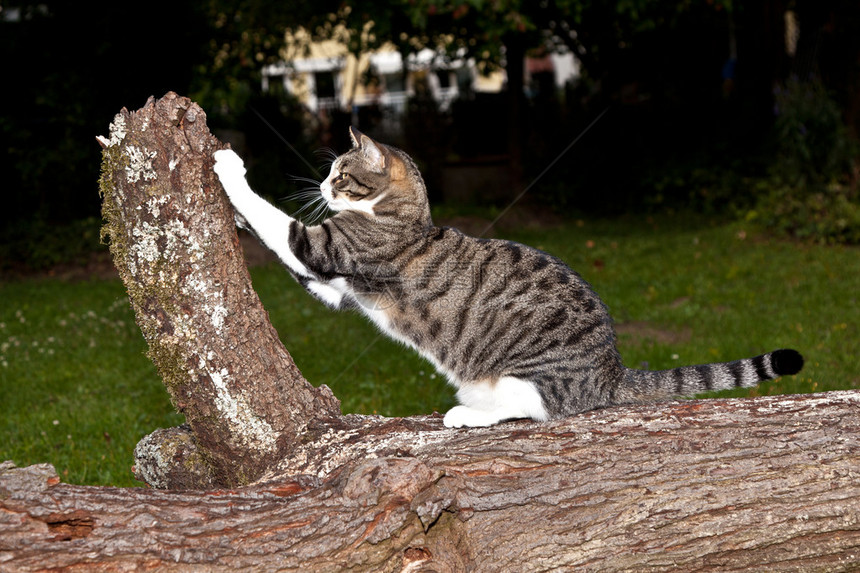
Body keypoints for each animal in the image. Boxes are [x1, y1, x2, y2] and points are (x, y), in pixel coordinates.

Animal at [212, 127, 804, 426]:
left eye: (340, 175)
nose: (321, 186)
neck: (403, 216)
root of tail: (611, 371)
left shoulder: (325, 248)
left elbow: (276, 221)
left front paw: (229, 169)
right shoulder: (336, 287)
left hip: (531, 373)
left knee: (534, 408)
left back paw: (466, 416)